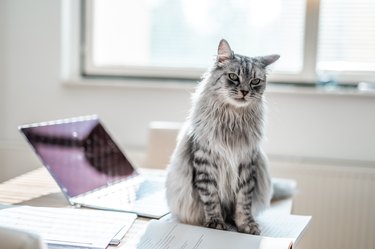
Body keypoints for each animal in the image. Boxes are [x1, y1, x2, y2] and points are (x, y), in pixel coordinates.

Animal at [166, 39, 280, 235]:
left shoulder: (247, 163)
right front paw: (215, 223)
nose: (244, 91)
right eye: (233, 77)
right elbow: (211, 199)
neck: (232, 120)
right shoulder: (205, 162)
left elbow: (243, 202)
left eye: (255, 81)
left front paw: (246, 225)